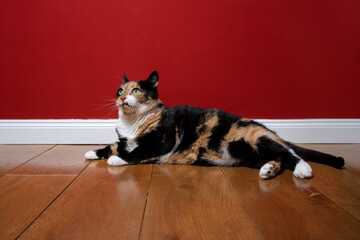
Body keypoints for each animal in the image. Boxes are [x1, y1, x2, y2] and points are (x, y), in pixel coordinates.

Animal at [85, 70, 346, 179]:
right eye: (120, 90)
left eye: (136, 90)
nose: (121, 98)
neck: (132, 122)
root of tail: (270, 131)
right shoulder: (124, 139)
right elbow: (113, 144)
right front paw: (91, 152)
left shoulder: (161, 140)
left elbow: (137, 151)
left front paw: (115, 160)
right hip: (251, 153)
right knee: (279, 158)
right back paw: (268, 170)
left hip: (254, 137)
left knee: (290, 153)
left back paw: (303, 170)